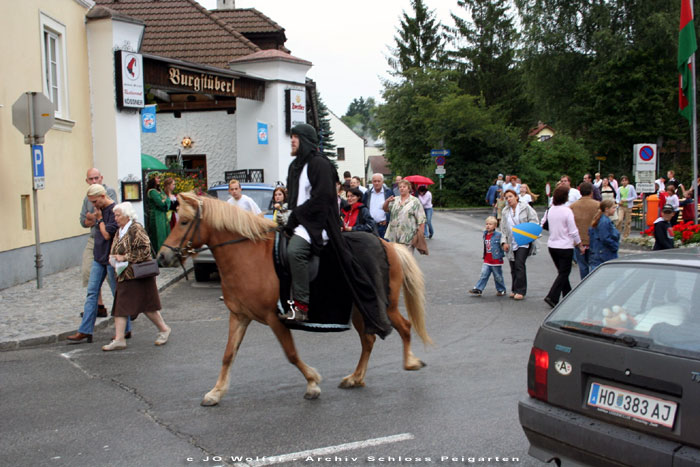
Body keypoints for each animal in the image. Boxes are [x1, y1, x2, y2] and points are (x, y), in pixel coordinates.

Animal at [159, 192, 432, 408]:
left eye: (184, 222)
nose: (162, 256)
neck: (247, 256)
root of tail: (388, 245)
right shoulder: (240, 316)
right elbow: (228, 355)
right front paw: (215, 392)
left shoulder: (274, 317)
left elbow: (291, 353)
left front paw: (312, 383)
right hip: (359, 308)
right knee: (368, 340)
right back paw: (356, 377)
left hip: (385, 305)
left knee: (404, 327)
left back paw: (410, 362)